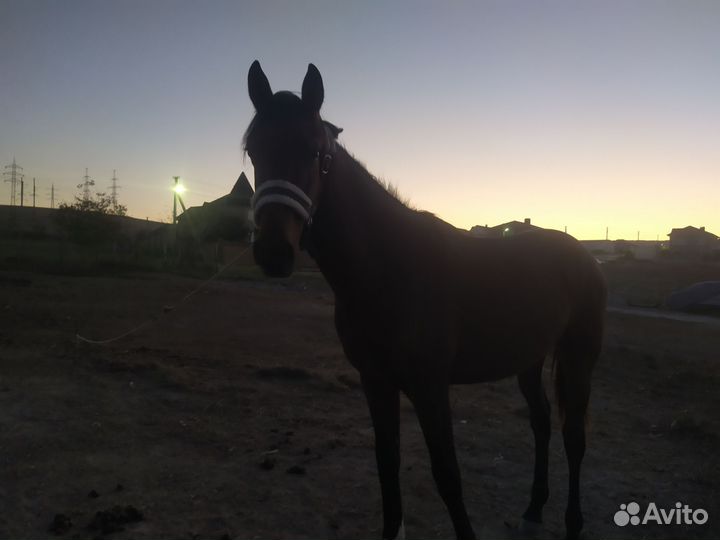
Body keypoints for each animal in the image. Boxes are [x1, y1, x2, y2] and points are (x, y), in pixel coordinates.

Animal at [244, 60, 606, 540]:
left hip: (578, 358)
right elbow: (387, 464)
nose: (273, 251)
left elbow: (448, 475)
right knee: (542, 422)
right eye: (253, 151)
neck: (388, 268)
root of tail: (586, 256)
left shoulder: (430, 388)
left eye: (314, 152)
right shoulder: (376, 382)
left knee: (573, 437)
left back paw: (572, 523)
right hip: (528, 359)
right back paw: (533, 509)